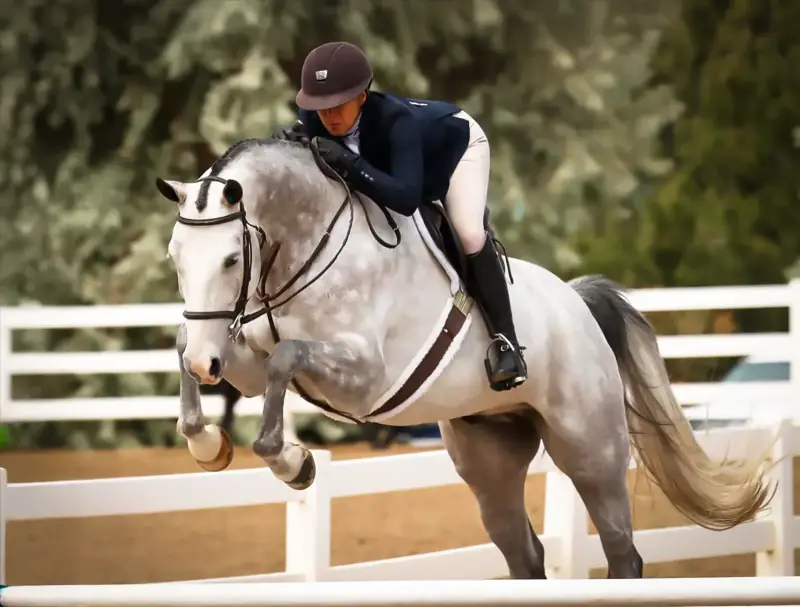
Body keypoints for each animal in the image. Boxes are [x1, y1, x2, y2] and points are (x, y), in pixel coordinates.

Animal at [155, 136, 774, 579]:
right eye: (175, 257)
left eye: (232, 259)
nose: (210, 366)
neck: (308, 248)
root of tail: (577, 302)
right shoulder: (245, 362)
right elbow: (193, 346)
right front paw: (207, 444)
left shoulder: (364, 377)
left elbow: (286, 358)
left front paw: (293, 463)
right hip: (489, 460)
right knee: (524, 555)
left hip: (590, 452)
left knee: (623, 553)